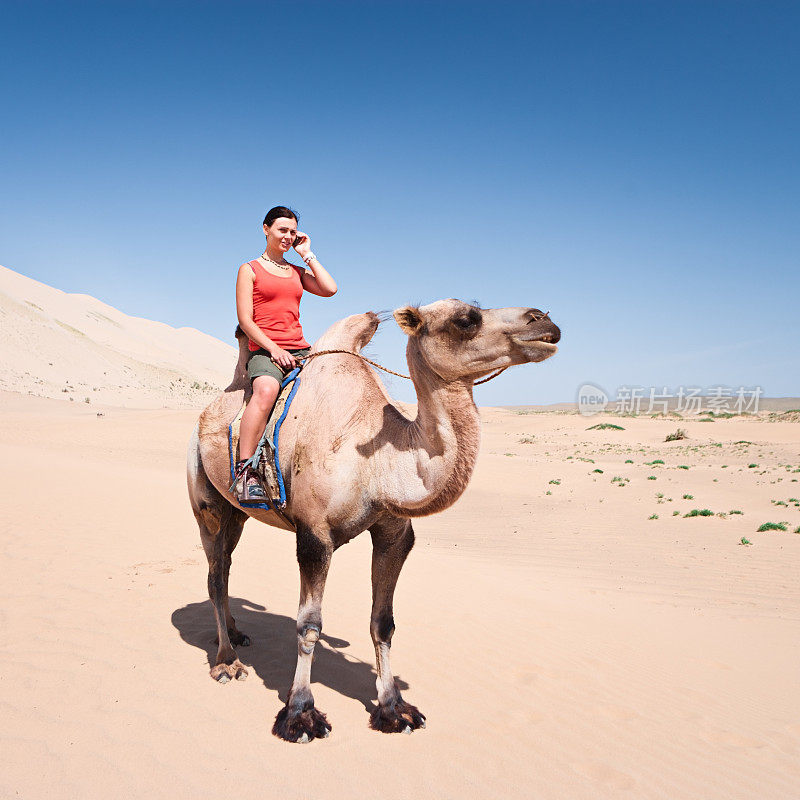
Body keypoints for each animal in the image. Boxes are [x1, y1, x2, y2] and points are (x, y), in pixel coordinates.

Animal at [184, 300, 560, 744]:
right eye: (466, 318)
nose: (544, 319)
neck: (375, 465)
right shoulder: (314, 535)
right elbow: (308, 626)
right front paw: (300, 714)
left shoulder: (394, 533)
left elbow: (384, 622)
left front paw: (394, 708)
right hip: (205, 500)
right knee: (215, 572)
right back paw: (226, 661)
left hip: (238, 513)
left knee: (225, 564)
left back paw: (235, 632)